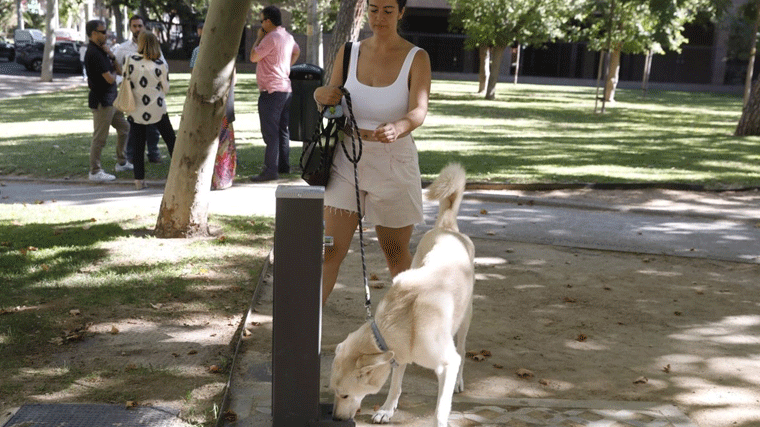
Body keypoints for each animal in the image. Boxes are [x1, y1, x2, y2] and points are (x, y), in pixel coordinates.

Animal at [328, 164, 472, 427]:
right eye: (333, 392)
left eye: (344, 394)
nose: (335, 417)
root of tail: (446, 229)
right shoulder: (400, 354)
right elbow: (395, 383)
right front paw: (387, 409)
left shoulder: (448, 363)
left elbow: (440, 410)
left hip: (466, 318)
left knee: (464, 350)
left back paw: (459, 381)